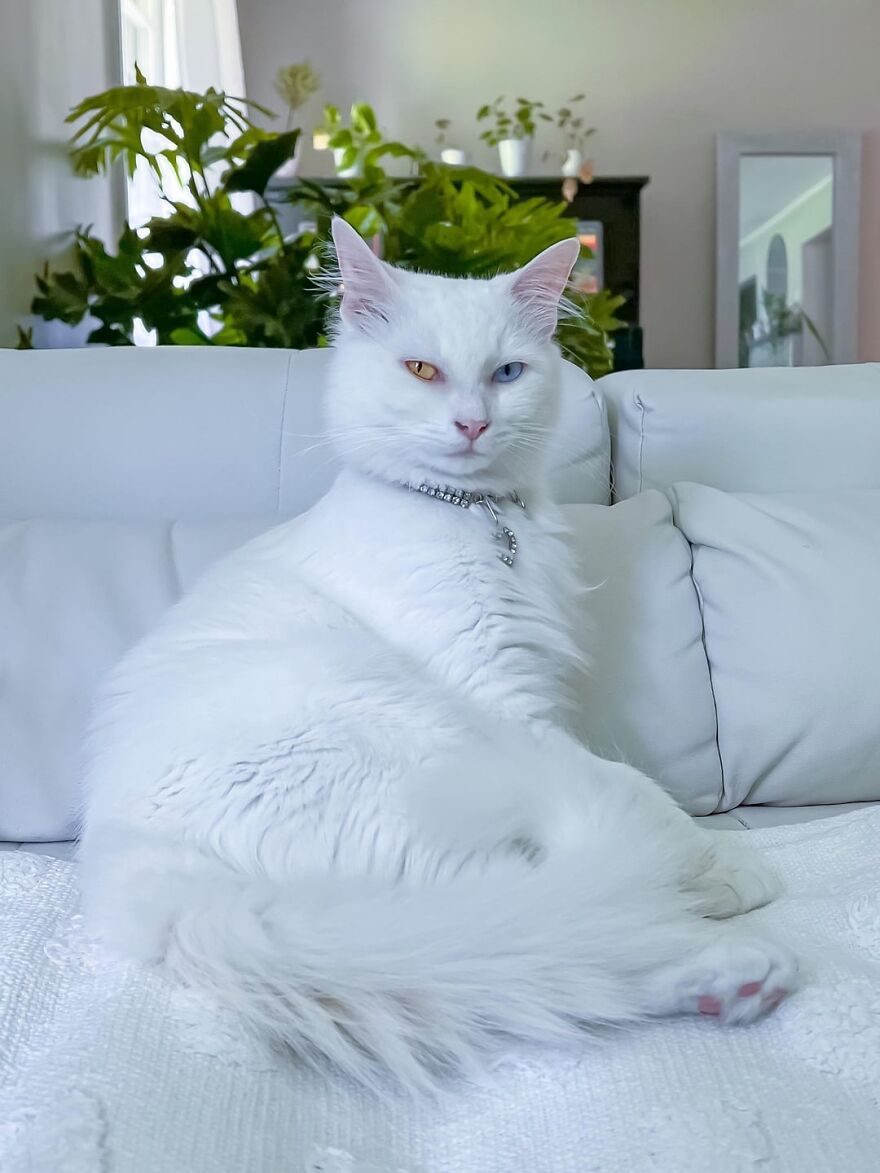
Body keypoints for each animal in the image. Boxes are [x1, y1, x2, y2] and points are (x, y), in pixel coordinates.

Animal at [80, 221, 797, 1097]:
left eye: (506, 373)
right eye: (422, 370)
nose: (471, 424)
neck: (472, 515)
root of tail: (154, 884)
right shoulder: (500, 694)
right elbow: (640, 792)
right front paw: (721, 864)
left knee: (553, 937)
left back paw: (731, 979)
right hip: (423, 752)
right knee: (571, 910)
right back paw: (724, 940)